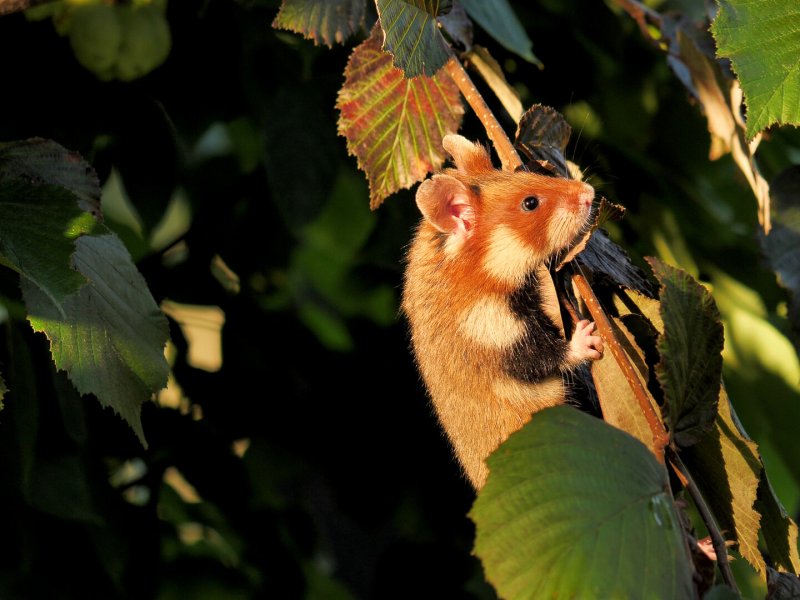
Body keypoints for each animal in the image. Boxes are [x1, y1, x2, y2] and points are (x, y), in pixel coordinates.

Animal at [401, 134, 604, 489]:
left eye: (533, 176)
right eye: (530, 203)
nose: (590, 192)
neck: (476, 272)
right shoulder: (498, 333)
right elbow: (549, 355)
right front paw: (588, 337)